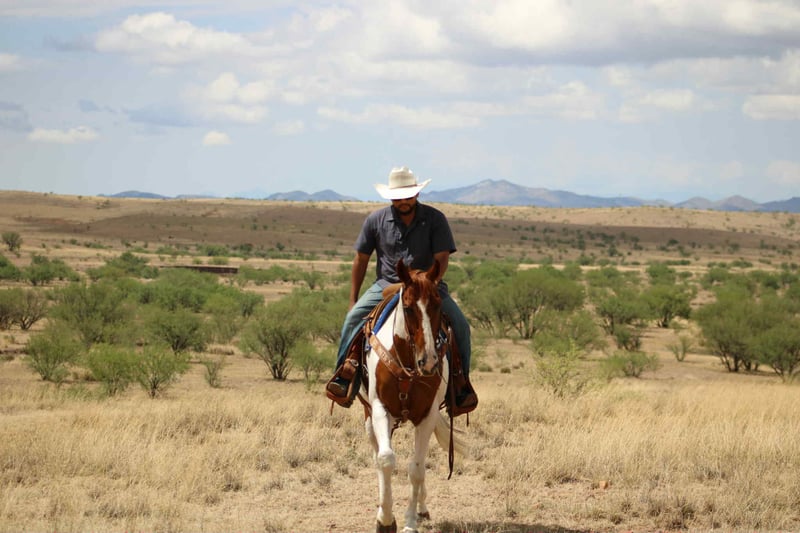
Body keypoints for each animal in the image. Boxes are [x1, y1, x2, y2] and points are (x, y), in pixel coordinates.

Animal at [360, 259, 467, 533]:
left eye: (437, 305)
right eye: (407, 308)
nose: (428, 362)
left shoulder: (427, 415)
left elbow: (417, 468)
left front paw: (409, 522)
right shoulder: (380, 409)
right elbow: (386, 459)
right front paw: (386, 520)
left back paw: (421, 508)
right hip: (369, 417)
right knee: (377, 456)